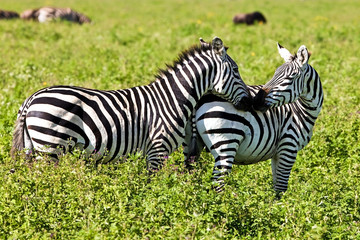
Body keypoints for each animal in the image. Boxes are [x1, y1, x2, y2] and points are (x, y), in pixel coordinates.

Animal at [11, 36, 253, 172]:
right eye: (236, 70)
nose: (249, 102)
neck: (173, 98)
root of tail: (31, 98)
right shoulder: (157, 148)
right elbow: (152, 185)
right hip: (50, 147)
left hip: (33, 148)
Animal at [183, 43, 324, 193]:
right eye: (275, 74)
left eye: (291, 77)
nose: (255, 101)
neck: (299, 110)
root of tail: (201, 97)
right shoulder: (288, 146)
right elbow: (281, 187)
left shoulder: (277, 153)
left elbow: (276, 186)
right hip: (226, 143)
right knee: (218, 183)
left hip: (190, 143)